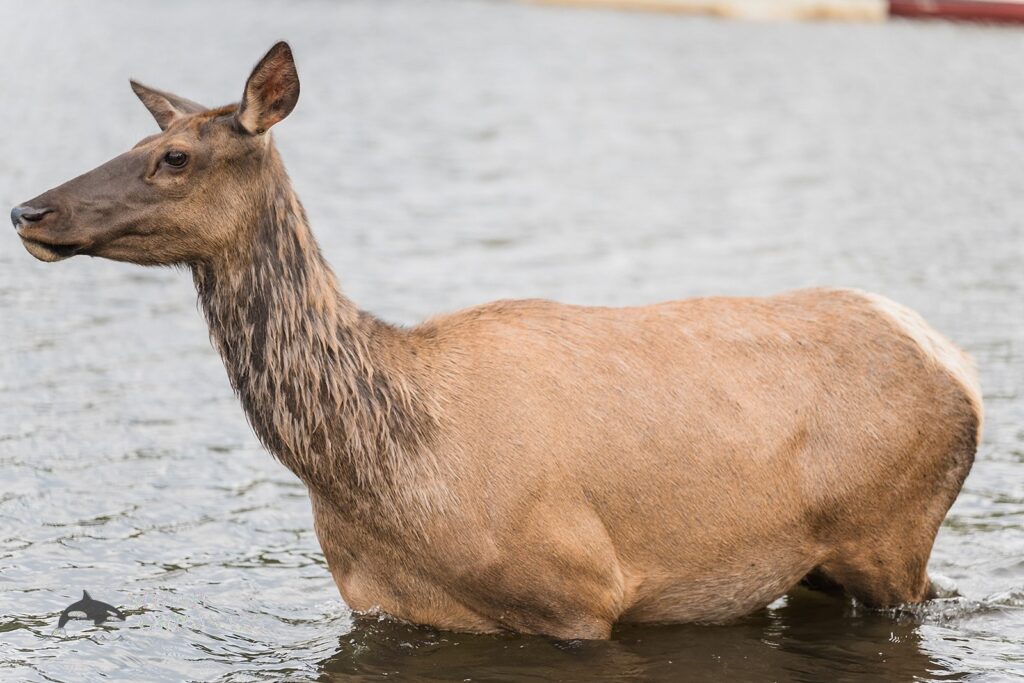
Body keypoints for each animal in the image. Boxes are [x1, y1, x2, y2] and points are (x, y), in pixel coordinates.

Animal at [12, 44, 978, 643]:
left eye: (174, 158)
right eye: (142, 139)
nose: (29, 209)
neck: (391, 472)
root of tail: (960, 365)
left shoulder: (581, 593)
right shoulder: (384, 608)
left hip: (892, 538)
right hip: (816, 567)